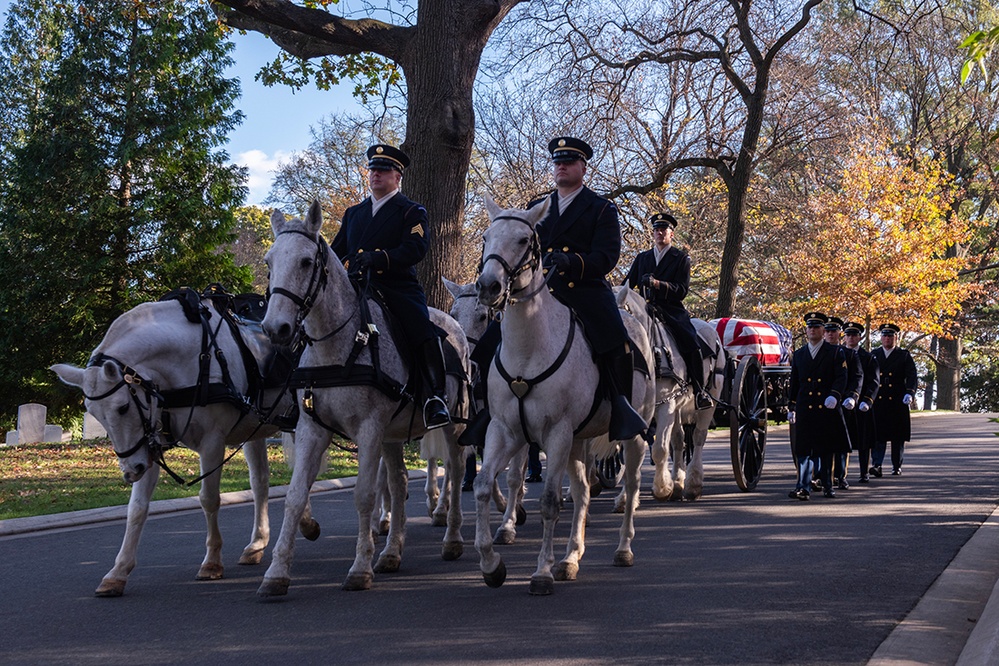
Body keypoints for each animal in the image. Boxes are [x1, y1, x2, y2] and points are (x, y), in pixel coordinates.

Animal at [50, 296, 316, 596]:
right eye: (94, 414)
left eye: (122, 407)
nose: (131, 471)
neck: (192, 358)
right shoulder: (148, 444)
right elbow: (137, 508)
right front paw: (118, 571)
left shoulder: (212, 442)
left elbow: (209, 499)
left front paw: (211, 561)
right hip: (258, 428)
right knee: (262, 481)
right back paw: (264, 540)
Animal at [262, 200, 472, 592]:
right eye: (269, 262)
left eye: (306, 262)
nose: (275, 328)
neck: (338, 344)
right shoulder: (313, 429)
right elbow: (295, 497)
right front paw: (277, 571)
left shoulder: (369, 429)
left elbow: (364, 495)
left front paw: (360, 568)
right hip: (392, 434)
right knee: (399, 481)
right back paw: (391, 553)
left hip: (451, 426)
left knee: (455, 469)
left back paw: (452, 538)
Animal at [616, 286, 728, 498]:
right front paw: (625, 497)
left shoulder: (665, 404)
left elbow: (659, 449)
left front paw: (662, 488)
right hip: (677, 407)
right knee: (678, 440)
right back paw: (678, 482)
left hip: (711, 398)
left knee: (699, 436)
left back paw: (693, 483)